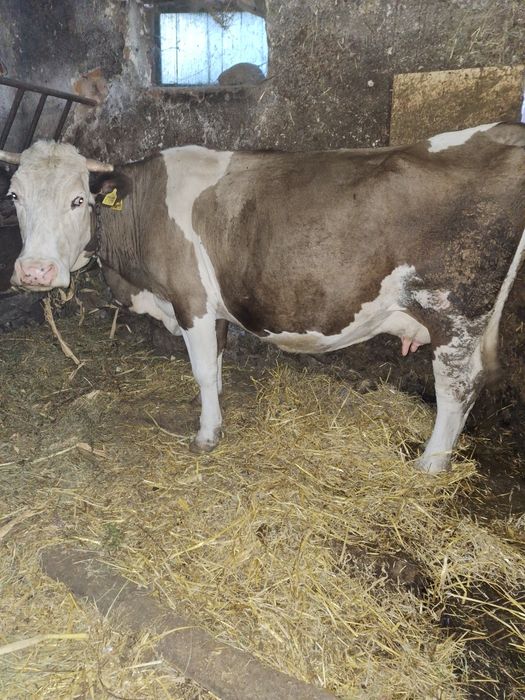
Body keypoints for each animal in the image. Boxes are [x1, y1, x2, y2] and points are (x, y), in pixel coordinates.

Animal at [2, 122, 525, 473]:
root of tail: (503, 131)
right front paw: (215, 414)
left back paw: (430, 465)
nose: (34, 271)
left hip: (454, 313)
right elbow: (216, 365)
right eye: (14, 197)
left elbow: (202, 369)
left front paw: (206, 435)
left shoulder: (191, 300)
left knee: (457, 387)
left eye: (79, 200)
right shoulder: (212, 310)